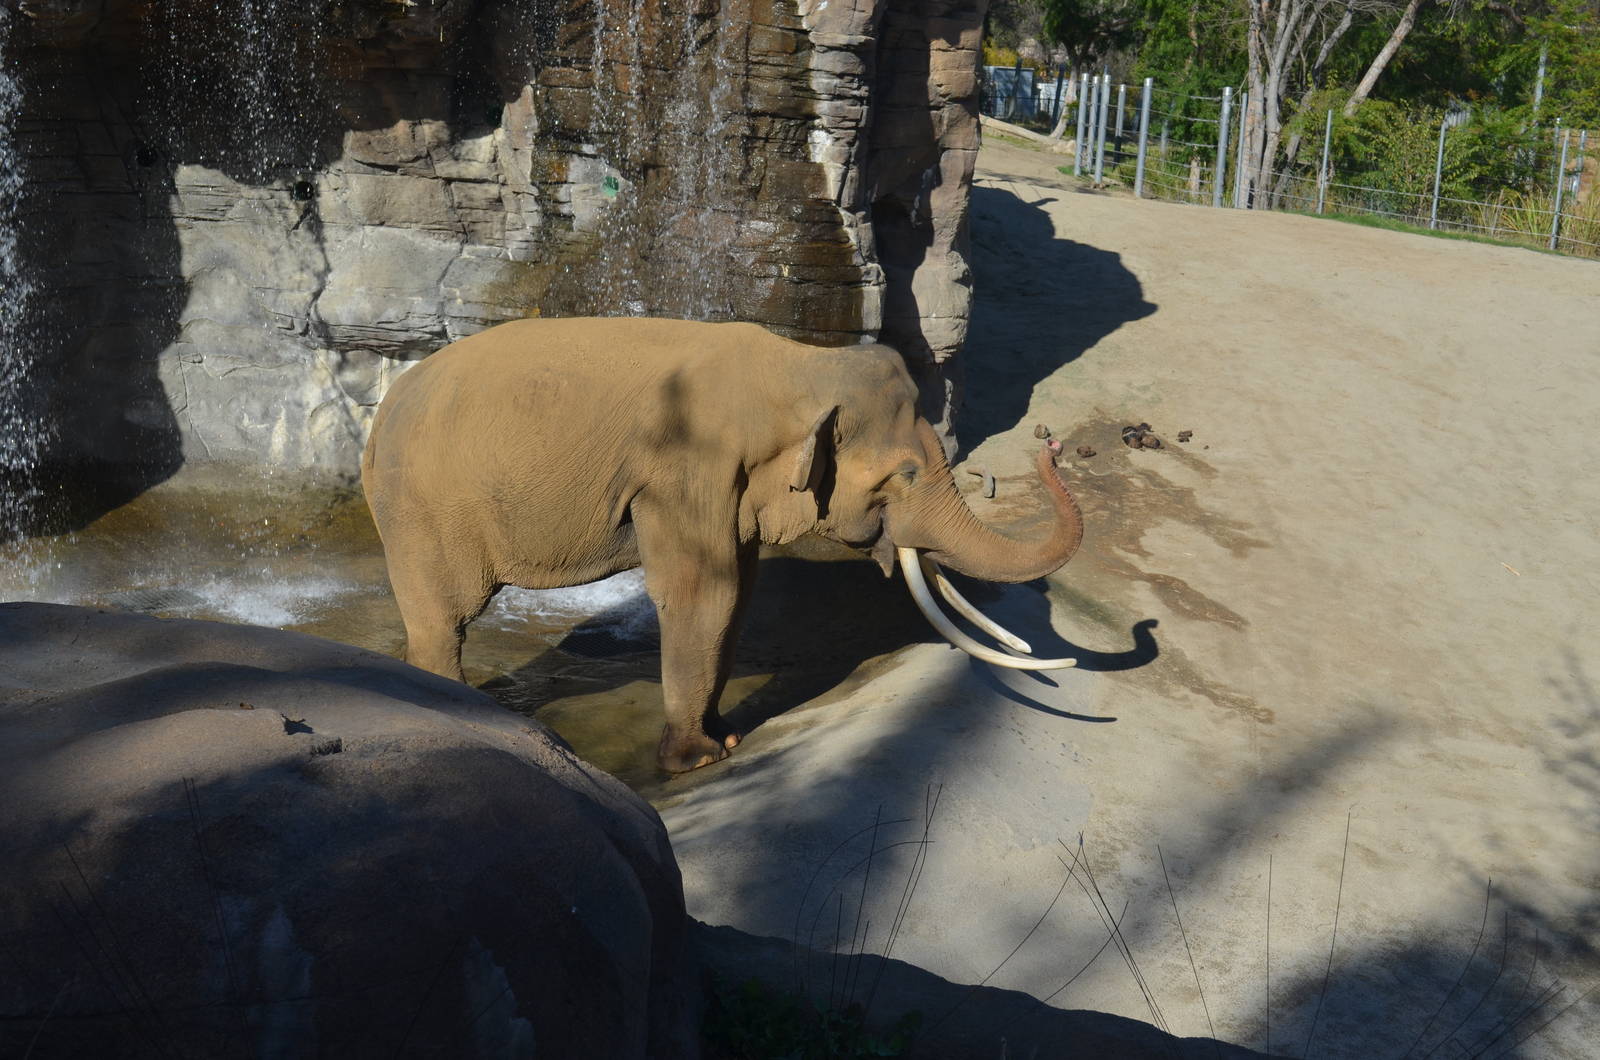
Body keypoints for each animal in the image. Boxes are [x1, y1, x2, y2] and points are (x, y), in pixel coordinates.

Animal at [361, 317, 1084, 773]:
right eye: (905, 475)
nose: (1052, 442)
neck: (797, 364)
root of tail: (383, 411)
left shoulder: (729, 493)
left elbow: (738, 596)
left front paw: (726, 737)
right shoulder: (686, 471)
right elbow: (704, 594)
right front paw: (698, 760)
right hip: (420, 508)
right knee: (444, 618)